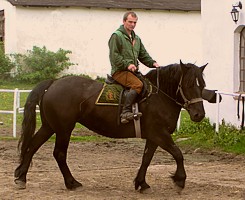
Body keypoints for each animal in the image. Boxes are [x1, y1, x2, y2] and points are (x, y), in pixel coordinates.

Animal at [14, 60, 208, 192]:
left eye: (203, 85)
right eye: (189, 84)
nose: (199, 115)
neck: (159, 96)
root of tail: (54, 82)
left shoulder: (154, 137)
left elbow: (146, 159)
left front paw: (141, 183)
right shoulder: (160, 134)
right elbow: (178, 154)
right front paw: (180, 179)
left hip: (49, 126)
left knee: (32, 146)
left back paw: (21, 177)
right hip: (63, 129)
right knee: (59, 154)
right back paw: (71, 182)